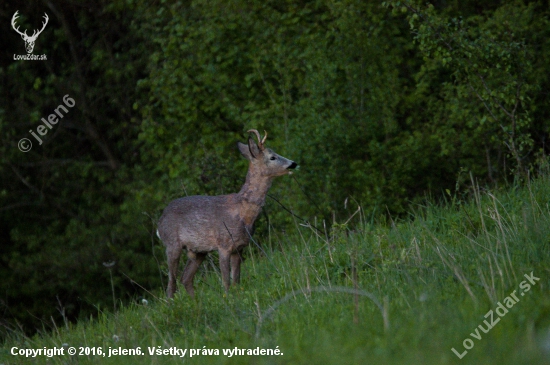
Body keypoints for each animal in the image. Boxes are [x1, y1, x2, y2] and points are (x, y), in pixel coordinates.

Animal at [157, 129, 298, 298]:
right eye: (272, 157)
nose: (293, 163)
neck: (243, 212)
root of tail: (160, 221)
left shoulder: (239, 247)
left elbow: (236, 280)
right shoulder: (223, 244)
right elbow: (226, 281)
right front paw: (227, 298)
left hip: (199, 251)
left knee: (185, 278)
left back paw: (196, 301)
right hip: (172, 244)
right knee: (171, 284)